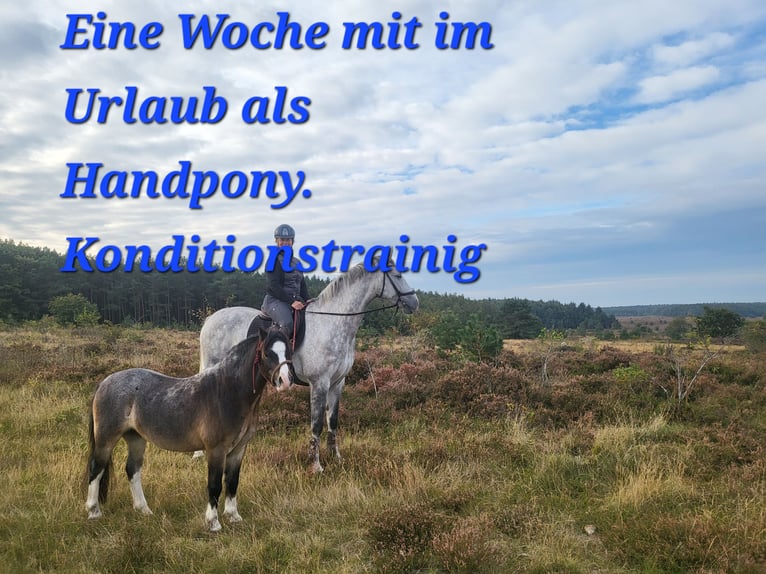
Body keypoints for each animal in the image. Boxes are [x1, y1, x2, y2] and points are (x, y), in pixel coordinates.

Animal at [84, 327, 292, 532]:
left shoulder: (238, 449)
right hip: (106, 438)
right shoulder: (216, 450)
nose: (285, 381)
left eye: (288, 351)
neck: (227, 391)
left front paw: (234, 516)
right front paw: (213, 522)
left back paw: (143, 510)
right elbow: (214, 485)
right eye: (267, 353)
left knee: (132, 470)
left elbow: (232, 482)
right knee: (97, 469)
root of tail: (104, 382)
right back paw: (93, 511)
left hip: (135, 438)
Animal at [198, 262, 419, 473]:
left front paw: (336, 458)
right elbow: (317, 424)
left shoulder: (338, 383)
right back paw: (200, 453)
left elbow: (333, 421)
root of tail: (211, 319)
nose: (414, 302)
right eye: (398, 275)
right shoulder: (319, 383)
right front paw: (315, 465)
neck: (333, 321)